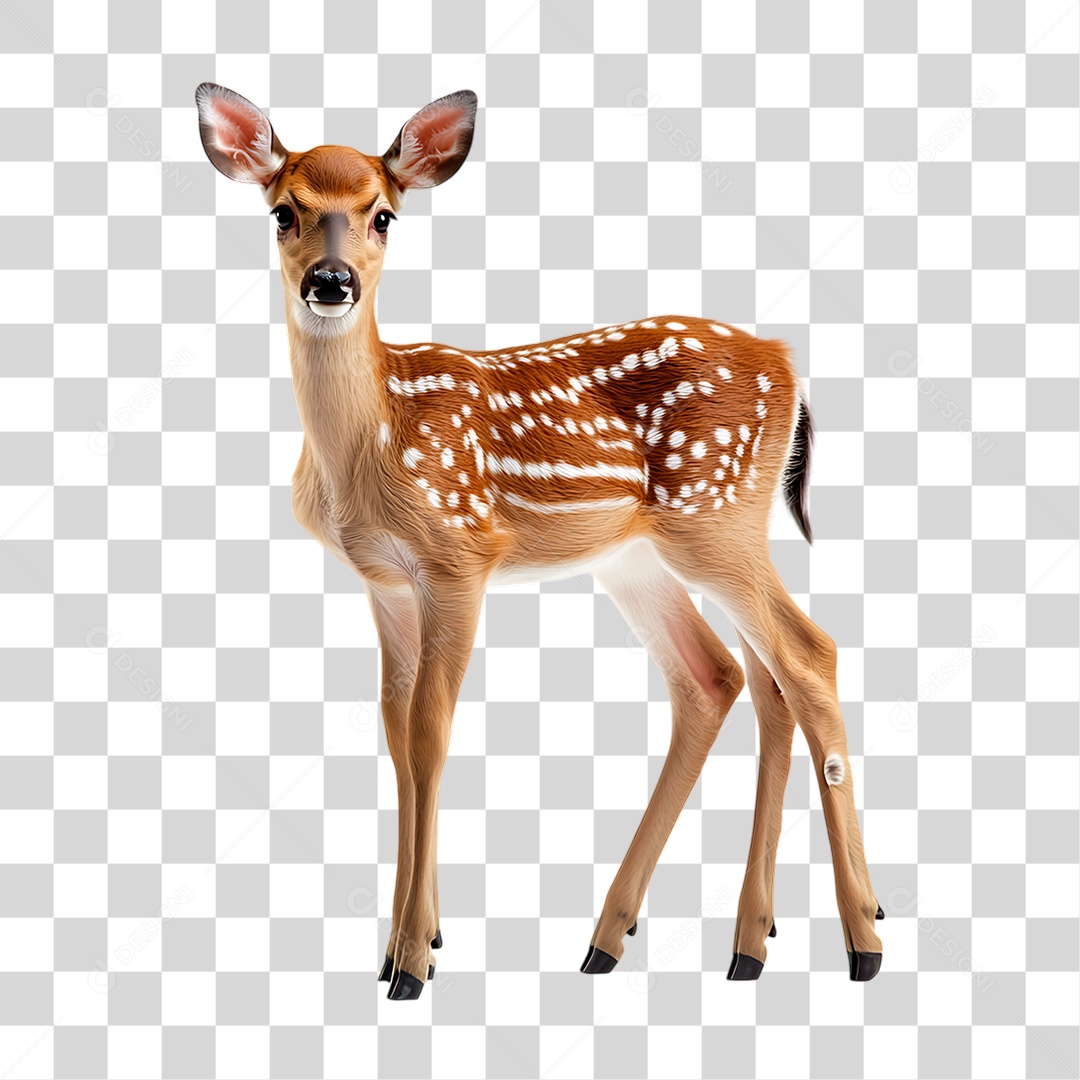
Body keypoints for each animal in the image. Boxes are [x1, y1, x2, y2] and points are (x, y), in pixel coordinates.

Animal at [195, 82, 884, 1000]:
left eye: (383, 215)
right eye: (282, 211)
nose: (330, 282)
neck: (373, 444)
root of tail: (788, 363)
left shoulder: (459, 557)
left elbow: (430, 734)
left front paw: (411, 962)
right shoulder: (385, 584)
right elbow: (396, 735)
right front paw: (410, 942)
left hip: (712, 518)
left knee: (808, 656)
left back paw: (862, 940)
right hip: (647, 555)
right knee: (726, 677)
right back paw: (695, 942)